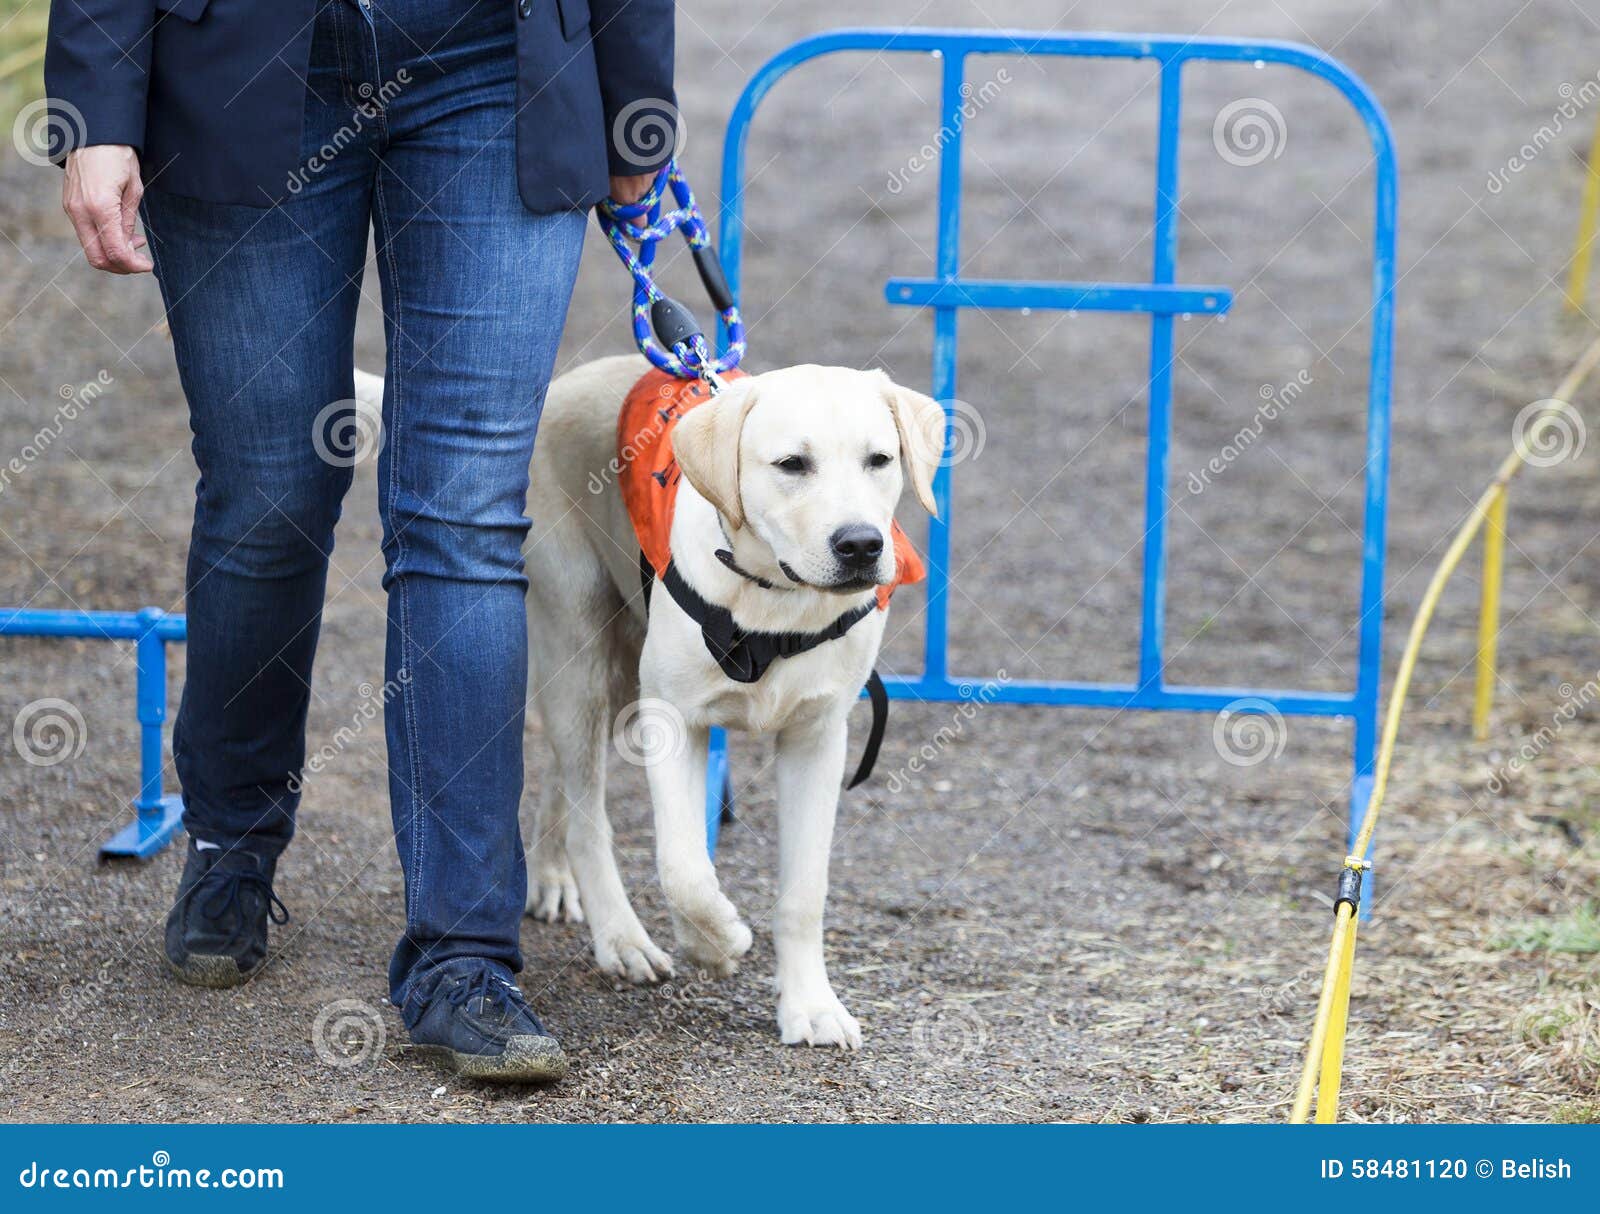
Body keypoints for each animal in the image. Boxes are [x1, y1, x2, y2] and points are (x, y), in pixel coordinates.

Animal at [518, 353, 940, 1055]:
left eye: (880, 459)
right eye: (792, 464)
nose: (860, 545)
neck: (774, 599)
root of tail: (566, 382)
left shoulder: (818, 737)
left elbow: (804, 891)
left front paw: (811, 1006)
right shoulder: (669, 718)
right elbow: (684, 868)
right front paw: (716, 943)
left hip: (613, 669)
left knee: (564, 777)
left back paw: (550, 876)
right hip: (576, 644)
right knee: (587, 813)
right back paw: (622, 939)